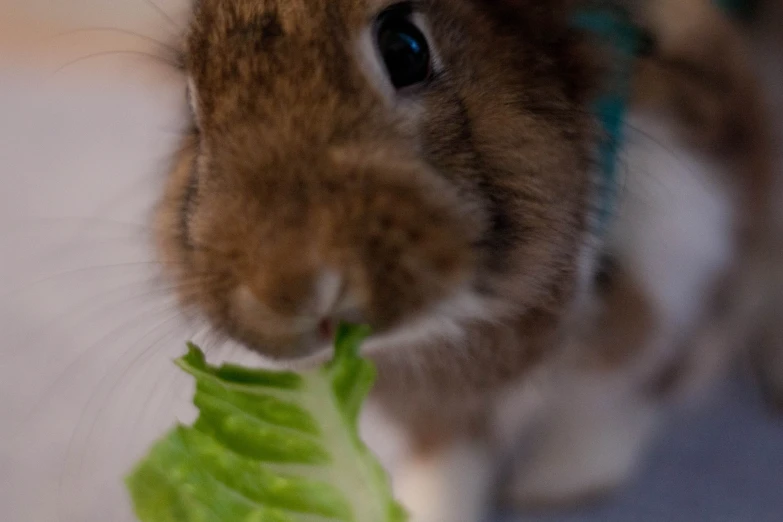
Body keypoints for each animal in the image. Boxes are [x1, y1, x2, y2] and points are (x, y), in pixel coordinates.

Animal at [152, 0, 776, 516]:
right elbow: (448, 458)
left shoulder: (687, 276)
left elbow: (610, 403)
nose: (289, 289)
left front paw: (555, 484)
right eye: (192, 100)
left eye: (405, 47)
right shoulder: (439, 410)